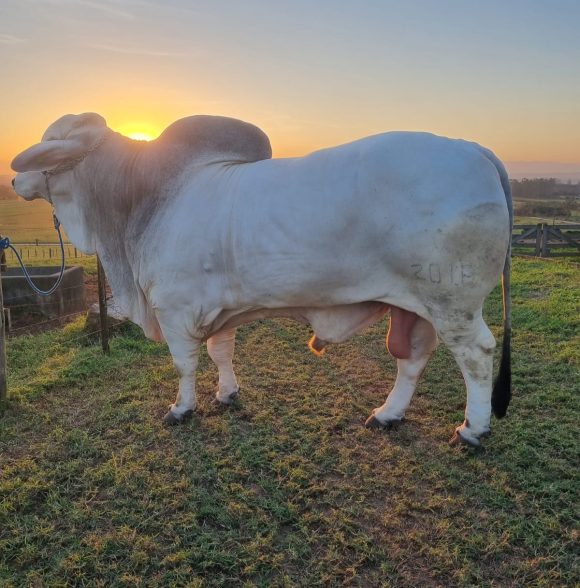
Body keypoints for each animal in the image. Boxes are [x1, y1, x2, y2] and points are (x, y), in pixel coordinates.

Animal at [11, 113, 512, 446]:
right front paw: (227, 394)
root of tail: (475, 148)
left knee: (477, 355)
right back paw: (388, 414)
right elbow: (220, 352)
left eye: (51, 140)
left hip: (454, 304)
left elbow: (184, 365)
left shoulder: (174, 310)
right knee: (413, 359)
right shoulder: (219, 310)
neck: (142, 199)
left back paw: (473, 428)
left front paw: (182, 408)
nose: (14, 182)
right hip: (417, 306)